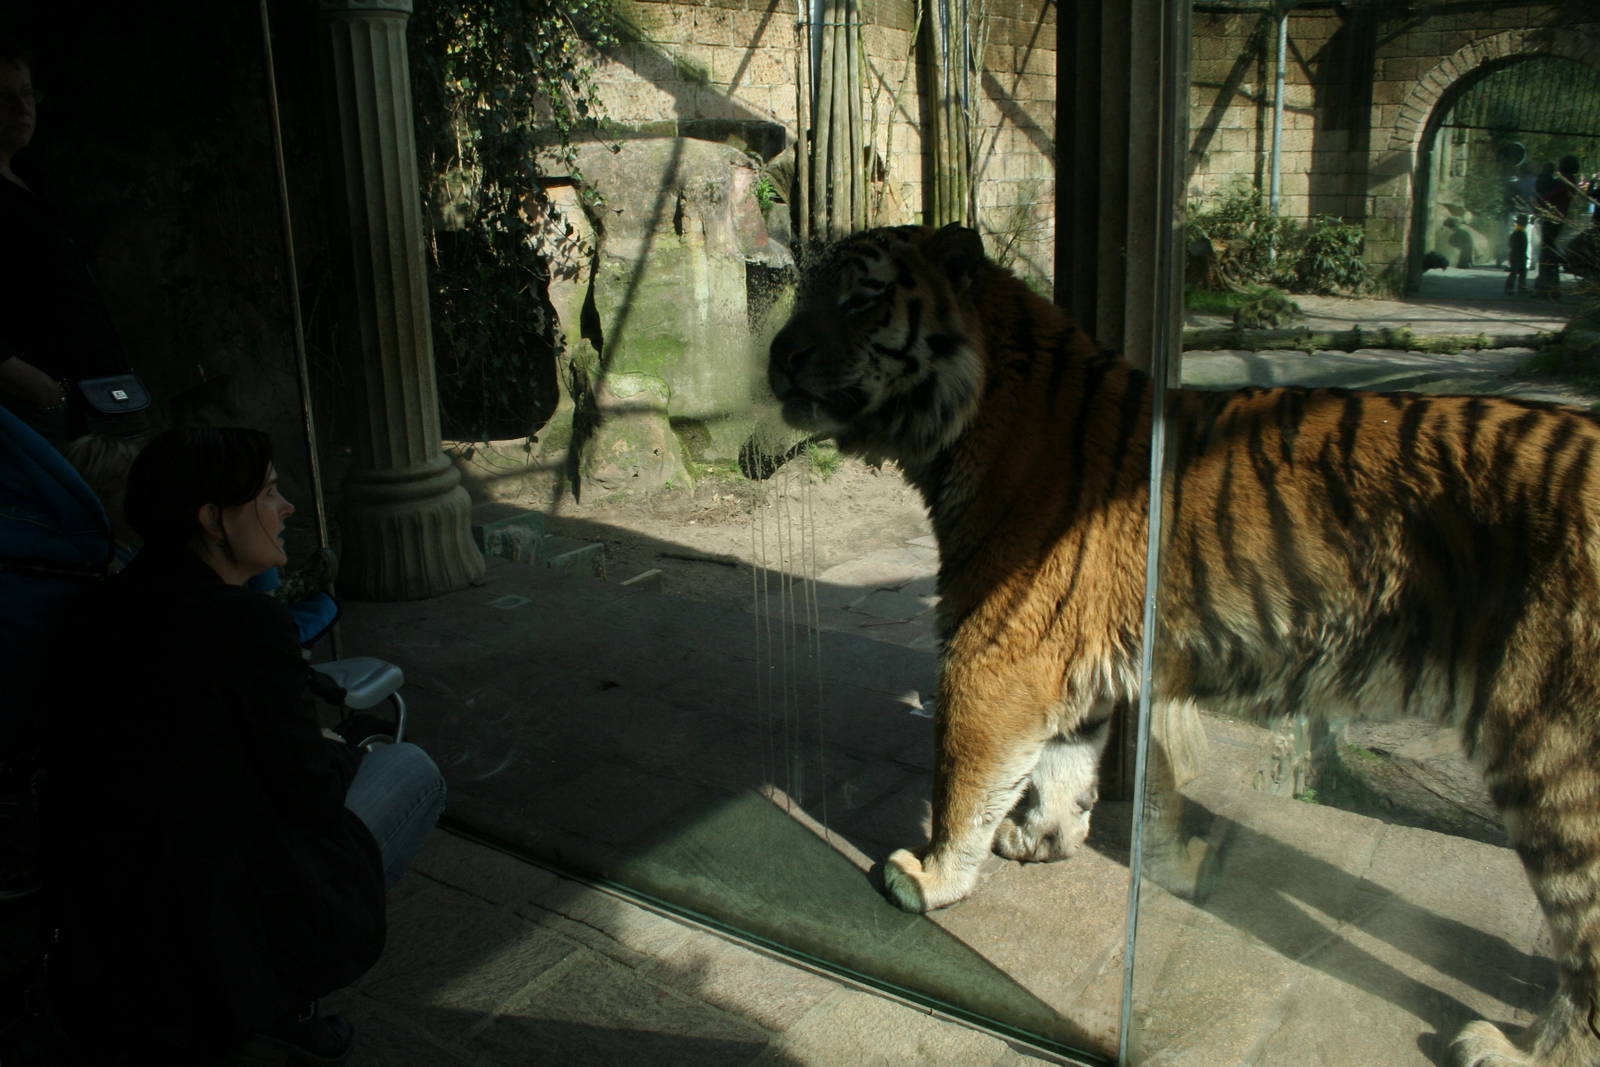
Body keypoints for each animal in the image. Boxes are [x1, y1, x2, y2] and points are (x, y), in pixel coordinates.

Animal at [766, 222, 1600, 1067]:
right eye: (805, 290)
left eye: (863, 297)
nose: (779, 353)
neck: (966, 418)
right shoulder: (1070, 664)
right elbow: (1066, 766)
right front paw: (1043, 838)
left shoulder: (992, 654)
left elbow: (963, 779)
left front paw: (930, 878)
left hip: (1553, 747)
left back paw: (1513, 1049)